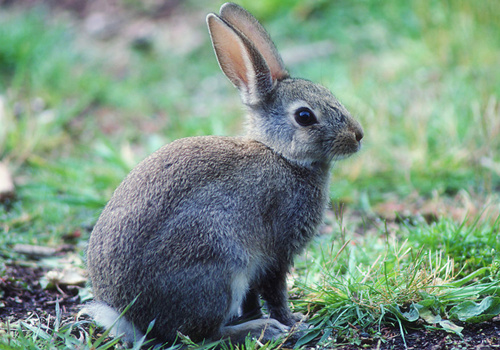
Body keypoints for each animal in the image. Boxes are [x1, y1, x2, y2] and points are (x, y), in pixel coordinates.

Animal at [84, 2, 362, 348]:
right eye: (304, 116)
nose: (358, 136)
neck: (282, 156)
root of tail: (129, 318)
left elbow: (253, 298)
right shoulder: (276, 253)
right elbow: (275, 293)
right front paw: (294, 323)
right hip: (219, 266)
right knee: (201, 334)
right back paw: (261, 330)